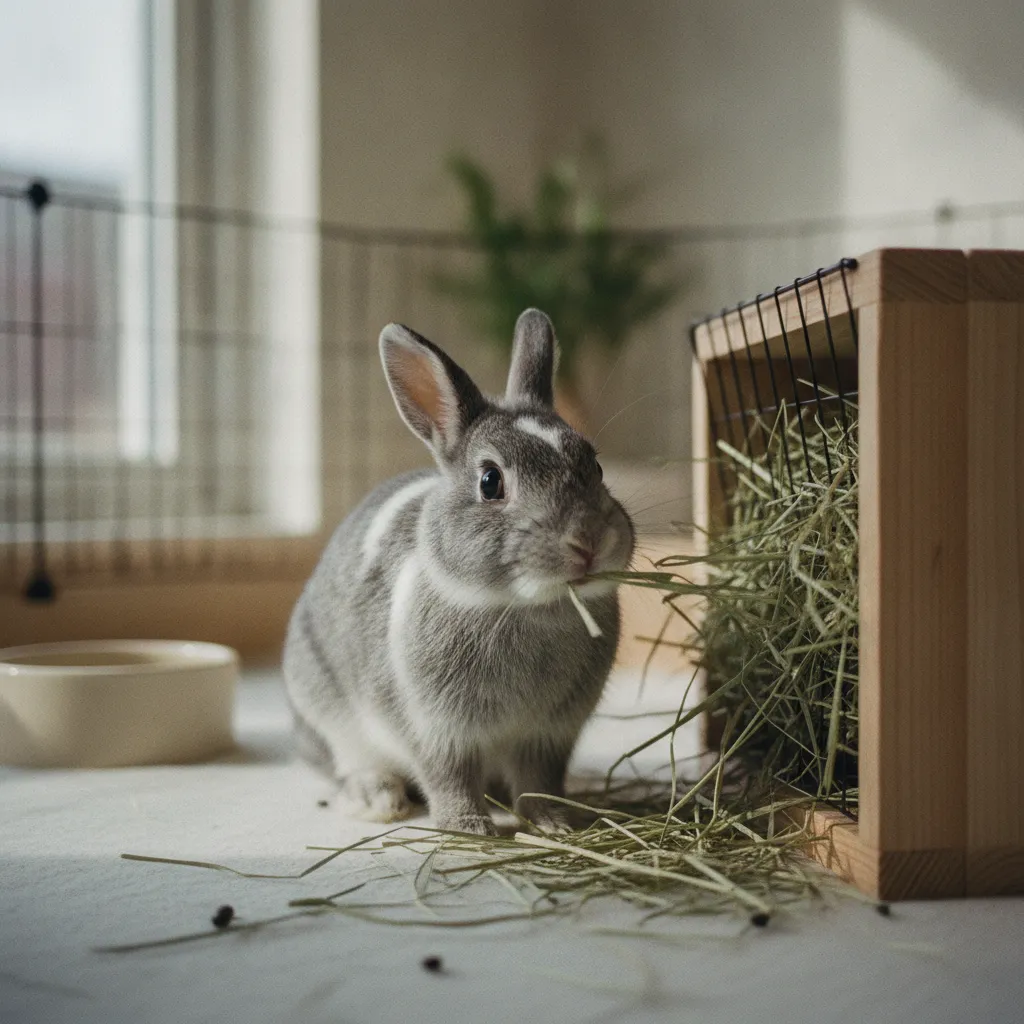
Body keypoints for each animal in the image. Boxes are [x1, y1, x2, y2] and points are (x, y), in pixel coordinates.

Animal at [282, 308, 635, 835]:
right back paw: (377, 798)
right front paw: (467, 827)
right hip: (328, 712)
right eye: (490, 481)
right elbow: (448, 775)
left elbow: (540, 780)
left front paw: (553, 824)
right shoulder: (436, 728)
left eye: (594, 465)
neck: (523, 608)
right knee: (352, 763)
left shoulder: (549, 735)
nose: (589, 540)